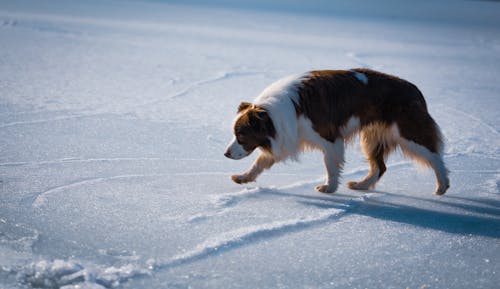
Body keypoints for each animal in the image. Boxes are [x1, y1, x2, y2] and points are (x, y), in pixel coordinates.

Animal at [223, 69, 450, 195]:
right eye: (235, 133)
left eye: (241, 134)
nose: (225, 154)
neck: (274, 113)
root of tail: (415, 89)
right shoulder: (289, 136)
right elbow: (259, 162)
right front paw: (243, 177)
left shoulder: (329, 137)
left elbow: (330, 165)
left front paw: (329, 188)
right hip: (372, 136)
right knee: (380, 167)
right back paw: (362, 185)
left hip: (408, 132)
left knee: (434, 155)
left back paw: (442, 185)